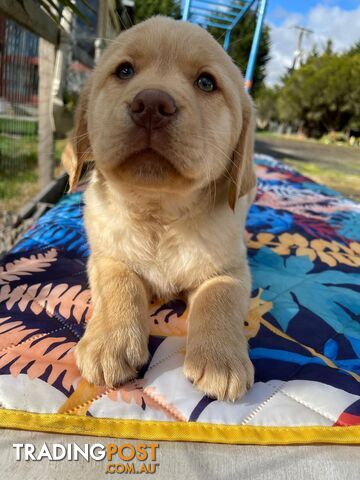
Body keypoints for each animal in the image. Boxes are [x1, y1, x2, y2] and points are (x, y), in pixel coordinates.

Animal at [66, 15, 258, 402]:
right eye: (124, 70)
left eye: (206, 82)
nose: (152, 104)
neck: (159, 214)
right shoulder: (104, 255)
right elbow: (118, 281)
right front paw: (109, 342)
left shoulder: (233, 268)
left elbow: (219, 294)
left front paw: (221, 360)